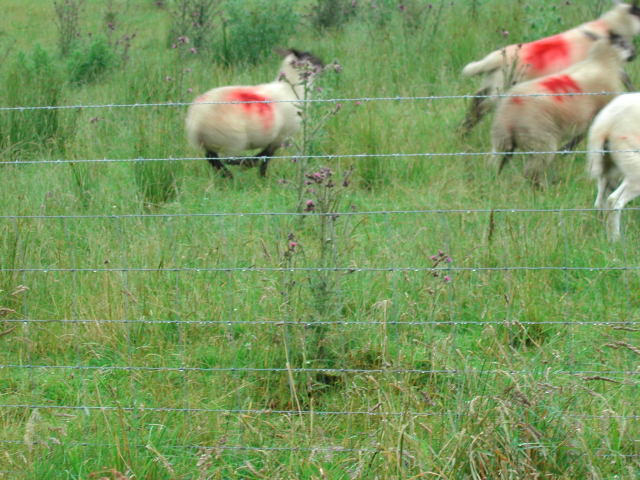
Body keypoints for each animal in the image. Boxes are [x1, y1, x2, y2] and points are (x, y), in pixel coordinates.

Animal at [185, 49, 324, 178]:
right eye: (311, 57)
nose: (323, 65)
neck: (291, 88)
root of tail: (197, 120)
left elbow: (265, 157)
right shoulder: (281, 136)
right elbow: (266, 157)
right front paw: (259, 173)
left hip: (210, 141)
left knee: (212, 158)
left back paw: (228, 175)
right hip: (233, 139)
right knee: (227, 159)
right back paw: (241, 166)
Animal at [460, 0, 640, 134]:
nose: (633, 54)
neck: (607, 28)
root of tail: (492, 60)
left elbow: (626, 79)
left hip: (491, 83)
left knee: (475, 103)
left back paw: (462, 134)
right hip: (499, 89)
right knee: (480, 109)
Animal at [490, 33, 635, 186]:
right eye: (623, 43)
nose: (634, 53)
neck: (602, 62)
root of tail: (511, 111)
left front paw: (566, 150)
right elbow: (583, 134)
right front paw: (566, 149)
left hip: (501, 138)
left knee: (497, 161)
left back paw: (494, 178)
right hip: (540, 139)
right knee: (532, 170)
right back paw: (542, 187)